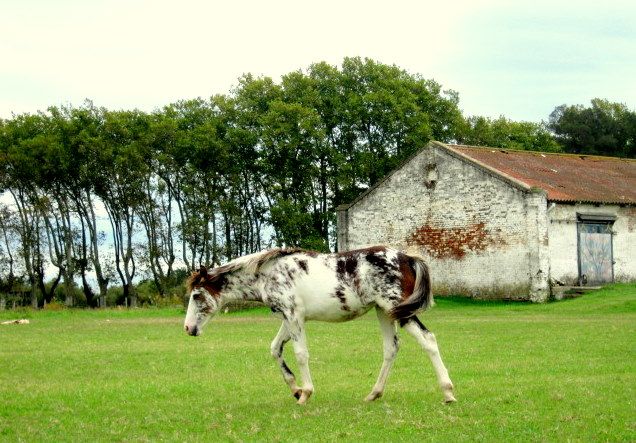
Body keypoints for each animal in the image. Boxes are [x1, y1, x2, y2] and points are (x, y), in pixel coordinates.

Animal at [184, 246, 458, 406]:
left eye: (196, 296)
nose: (188, 328)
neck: (267, 273)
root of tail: (407, 257)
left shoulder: (293, 316)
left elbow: (301, 354)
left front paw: (305, 393)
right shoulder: (289, 319)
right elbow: (275, 349)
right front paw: (295, 388)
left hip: (399, 311)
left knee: (428, 340)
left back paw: (448, 393)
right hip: (384, 313)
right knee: (391, 349)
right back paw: (374, 394)